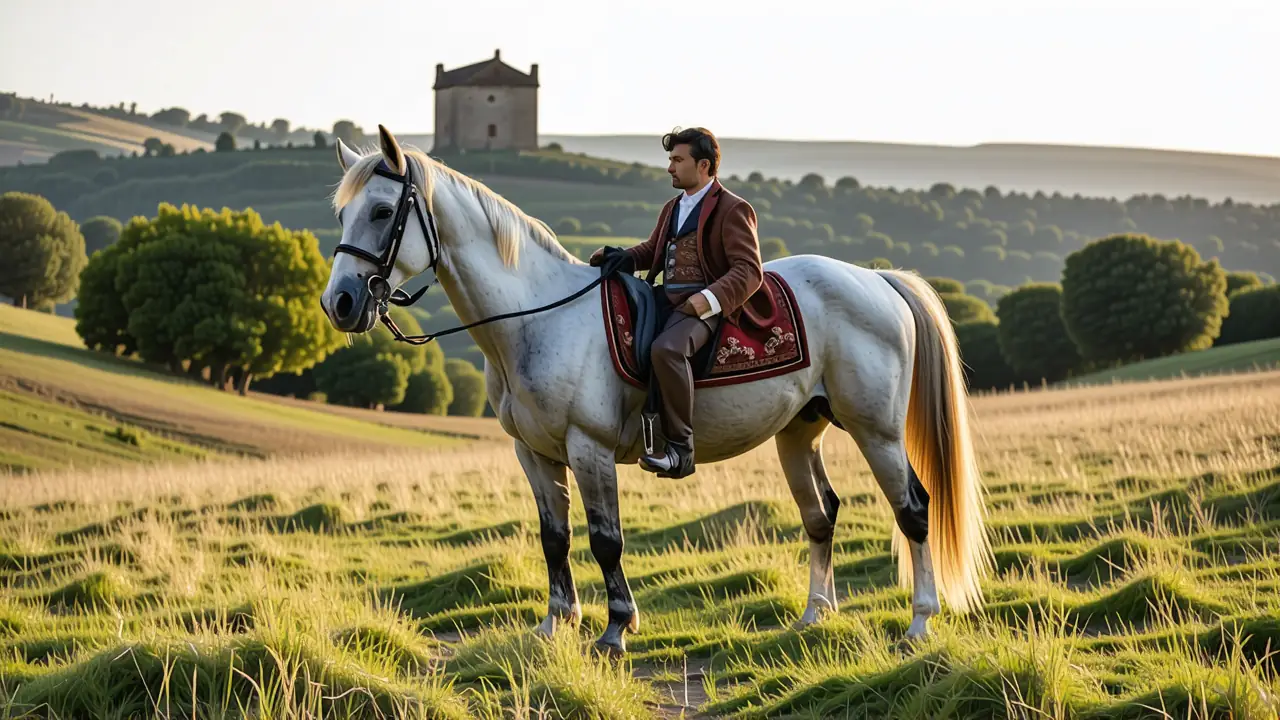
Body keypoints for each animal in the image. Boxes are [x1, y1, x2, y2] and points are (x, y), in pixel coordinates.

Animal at [319, 125, 993, 655]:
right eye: (342, 214)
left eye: (382, 212)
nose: (340, 303)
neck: (536, 318)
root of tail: (878, 280)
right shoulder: (533, 453)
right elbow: (555, 537)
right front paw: (555, 624)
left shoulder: (588, 449)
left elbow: (605, 540)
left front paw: (616, 630)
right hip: (799, 432)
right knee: (820, 514)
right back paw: (812, 616)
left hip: (876, 431)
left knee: (913, 509)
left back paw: (920, 623)